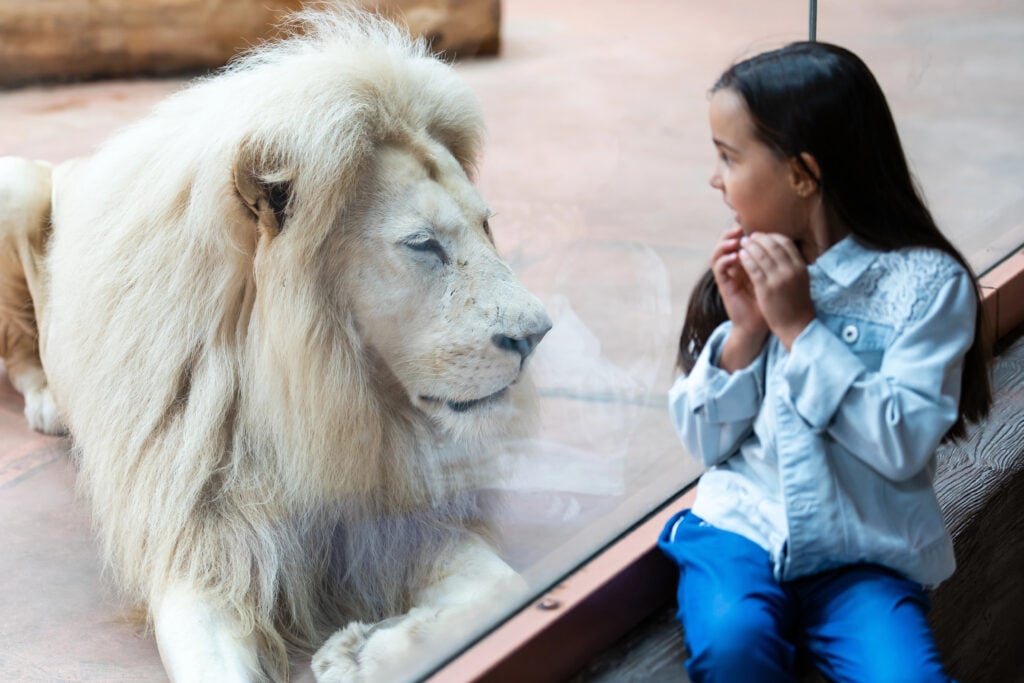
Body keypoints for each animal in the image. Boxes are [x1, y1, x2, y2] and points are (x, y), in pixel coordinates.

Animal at [0, 8, 550, 682]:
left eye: (486, 226)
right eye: (423, 244)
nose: (537, 334)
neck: (317, 398)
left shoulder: (395, 516)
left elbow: (505, 588)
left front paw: (361, 650)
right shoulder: (199, 551)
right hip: (15, 185)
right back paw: (49, 404)